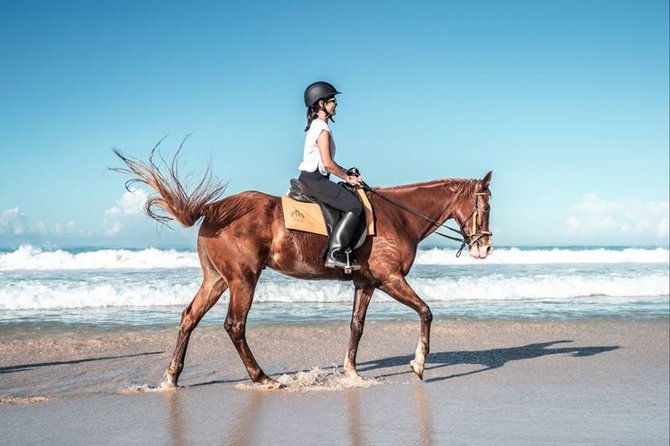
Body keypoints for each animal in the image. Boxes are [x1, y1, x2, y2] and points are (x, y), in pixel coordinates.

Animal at [114, 152, 494, 388]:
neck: (398, 216)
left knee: (190, 317)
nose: (485, 247)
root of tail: (214, 209)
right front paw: (418, 364)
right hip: (243, 279)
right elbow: (426, 311)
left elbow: (356, 326)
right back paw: (262, 378)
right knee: (234, 325)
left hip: (217, 280)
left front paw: (351, 373)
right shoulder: (389, 278)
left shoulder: (366, 282)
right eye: (486, 206)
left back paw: (171, 378)